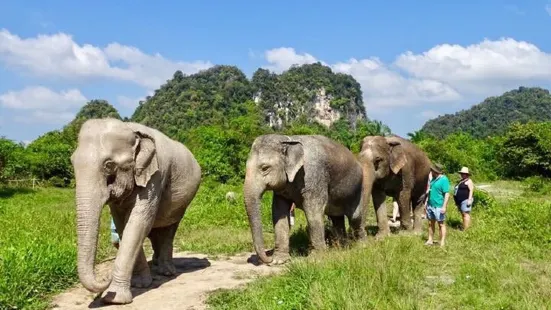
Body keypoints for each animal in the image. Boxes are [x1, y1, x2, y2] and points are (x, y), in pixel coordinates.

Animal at [70, 117, 202, 304]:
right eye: (72, 162)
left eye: (109, 165)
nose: (105, 277)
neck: (131, 130)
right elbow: (122, 225)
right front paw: (139, 284)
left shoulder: (155, 176)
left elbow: (138, 223)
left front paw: (115, 298)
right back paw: (155, 265)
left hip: (182, 204)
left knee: (169, 229)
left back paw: (166, 271)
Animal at [245, 134, 366, 266]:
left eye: (265, 168)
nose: (268, 259)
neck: (288, 140)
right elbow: (279, 213)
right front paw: (279, 260)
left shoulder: (314, 176)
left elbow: (313, 212)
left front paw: (315, 259)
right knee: (336, 218)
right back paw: (340, 248)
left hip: (358, 188)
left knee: (355, 217)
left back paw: (361, 246)